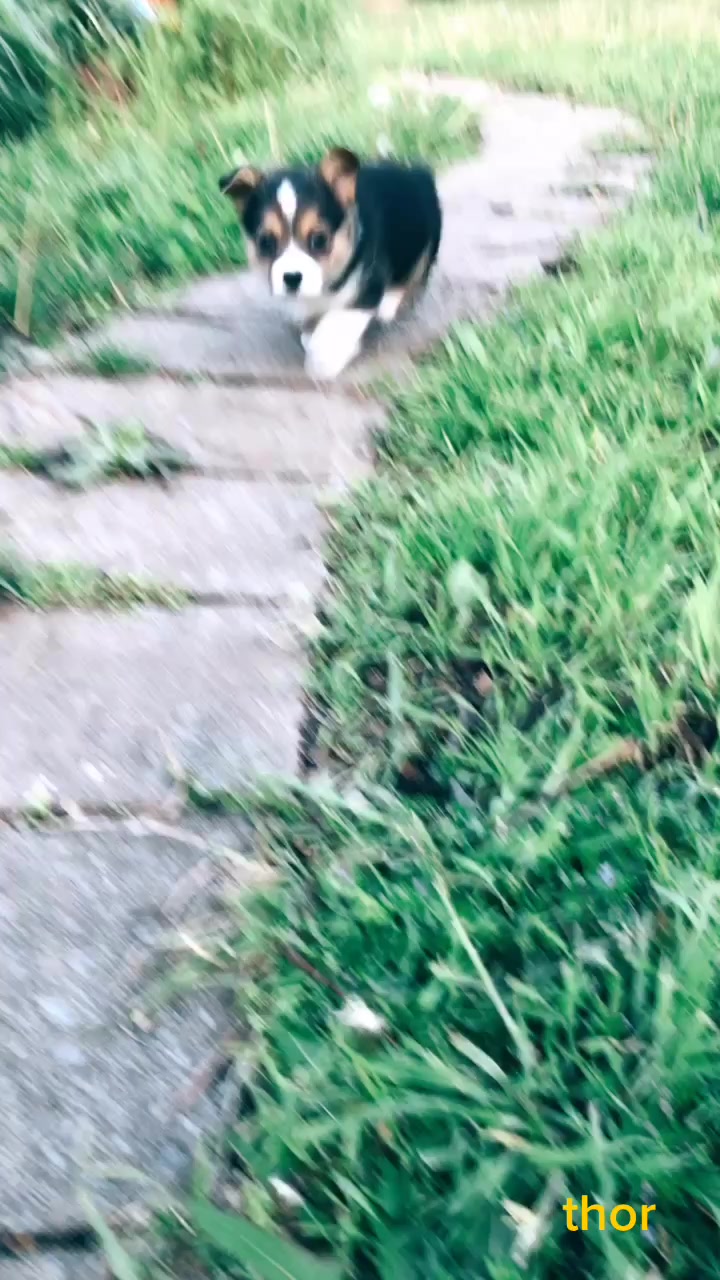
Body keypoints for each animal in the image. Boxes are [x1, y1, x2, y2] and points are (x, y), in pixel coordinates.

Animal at [219, 147, 442, 380]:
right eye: (265, 242)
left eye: (319, 239)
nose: (292, 278)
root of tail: (416, 171)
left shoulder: (364, 289)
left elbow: (331, 331)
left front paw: (323, 362)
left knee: (413, 277)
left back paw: (389, 304)